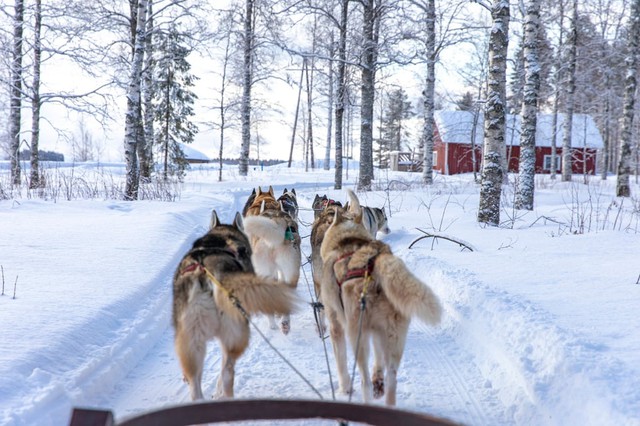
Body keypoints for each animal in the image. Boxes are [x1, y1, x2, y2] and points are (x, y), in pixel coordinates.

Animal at [171, 211, 298, 402]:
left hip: (191, 341)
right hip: (236, 334)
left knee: (195, 383)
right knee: (226, 372)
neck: (222, 238)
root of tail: (207, 272)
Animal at [320, 191, 440, 406]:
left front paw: (344, 388)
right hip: (393, 338)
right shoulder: (377, 332)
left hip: (357, 336)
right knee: (391, 378)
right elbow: (379, 362)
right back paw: (383, 392)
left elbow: (341, 363)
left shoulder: (336, 325)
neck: (347, 240)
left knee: (364, 379)